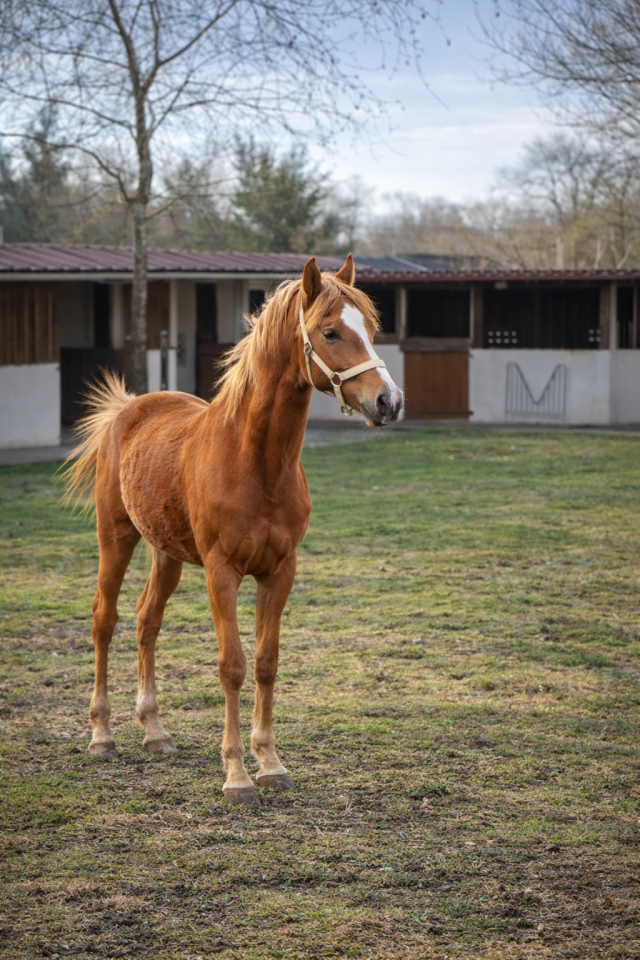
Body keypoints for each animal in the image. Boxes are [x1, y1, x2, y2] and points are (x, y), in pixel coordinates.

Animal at [65, 254, 403, 805]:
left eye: (372, 330)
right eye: (330, 331)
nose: (388, 402)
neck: (256, 462)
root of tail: (125, 410)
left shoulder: (280, 571)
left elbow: (266, 662)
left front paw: (271, 765)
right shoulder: (221, 572)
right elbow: (232, 666)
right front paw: (238, 776)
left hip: (167, 554)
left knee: (146, 620)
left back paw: (154, 732)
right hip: (115, 539)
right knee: (104, 620)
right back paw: (102, 735)